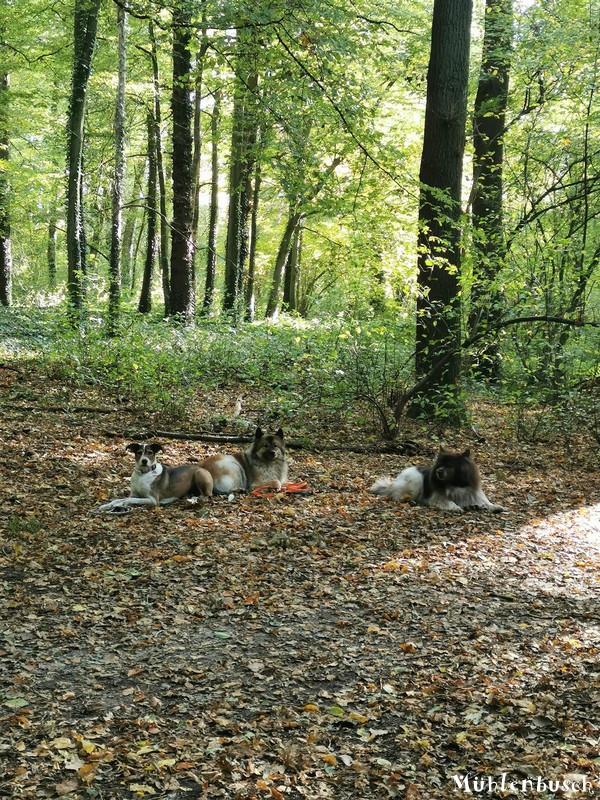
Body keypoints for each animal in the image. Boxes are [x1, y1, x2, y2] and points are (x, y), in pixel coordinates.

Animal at [370, 446, 506, 516]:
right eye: (440, 464)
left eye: (449, 465)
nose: (438, 471)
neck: (455, 483)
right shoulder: (439, 498)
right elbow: (449, 502)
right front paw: (455, 507)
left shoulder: (473, 494)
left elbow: (486, 503)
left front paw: (494, 506)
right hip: (415, 482)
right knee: (398, 494)